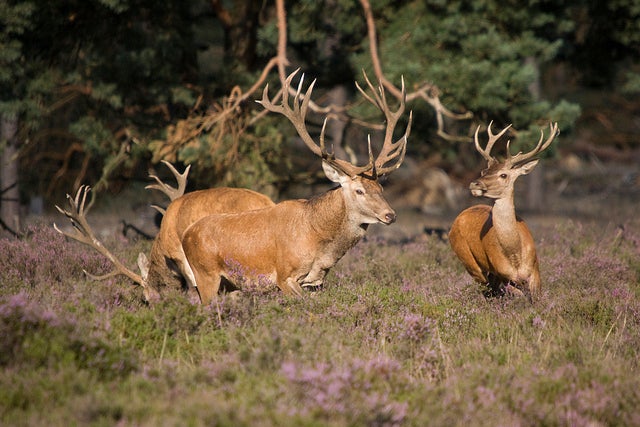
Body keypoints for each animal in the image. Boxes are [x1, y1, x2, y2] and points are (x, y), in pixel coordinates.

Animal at [179, 69, 412, 305]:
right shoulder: (284, 275)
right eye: (359, 190)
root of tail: (186, 234)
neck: (318, 242)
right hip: (205, 274)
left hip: (225, 284)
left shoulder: (315, 282)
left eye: (381, 189)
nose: (390, 215)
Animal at [448, 121, 559, 301]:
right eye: (483, 171)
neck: (515, 254)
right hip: (468, 260)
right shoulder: (504, 274)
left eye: (503, 175)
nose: (474, 184)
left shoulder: (535, 269)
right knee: (487, 290)